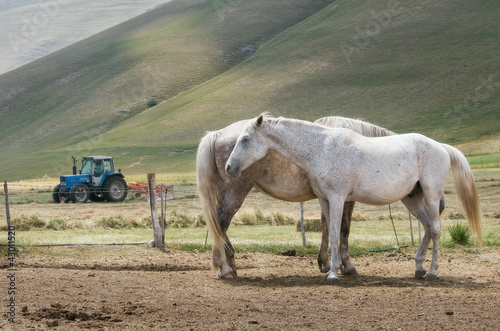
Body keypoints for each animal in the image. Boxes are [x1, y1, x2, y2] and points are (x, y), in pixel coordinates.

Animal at [226, 115, 480, 284]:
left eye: (245, 139)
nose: (229, 167)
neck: (321, 149)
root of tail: (442, 147)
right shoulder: (324, 200)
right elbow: (331, 234)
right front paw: (335, 267)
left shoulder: (338, 198)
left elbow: (336, 235)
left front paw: (333, 273)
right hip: (412, 199)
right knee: (427, 227)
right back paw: (418, 268)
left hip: (431, 194)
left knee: (435, 229)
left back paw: (433, 272)